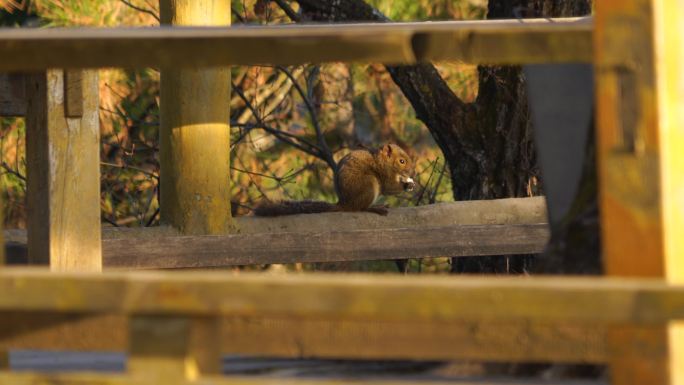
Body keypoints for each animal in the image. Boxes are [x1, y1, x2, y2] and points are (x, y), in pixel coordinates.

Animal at [255, 144, 416, 216]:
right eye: (402, 161)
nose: (413, 172)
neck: (381, 161)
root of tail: (344, 204)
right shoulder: (384, 175)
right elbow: (389, 187)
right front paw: (407, 185)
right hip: (370, 185)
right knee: (360, 208)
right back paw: (376, 208)